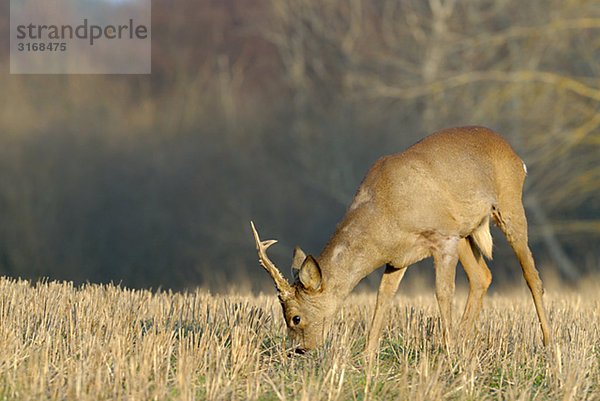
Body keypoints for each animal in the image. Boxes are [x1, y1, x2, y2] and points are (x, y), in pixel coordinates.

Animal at [250, 126, 552, 354]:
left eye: (295, 317)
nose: (299, 350)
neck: (385, 211)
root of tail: (516, 156)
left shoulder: (442, 237)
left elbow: (443, 293)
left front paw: (448, 352)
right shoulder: (398, 257)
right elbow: (383, 297)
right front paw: (368, 355)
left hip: (508, 205)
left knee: (531, 276)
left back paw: (549, 345)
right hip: (465, 231)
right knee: (483, 276)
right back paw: (464, 341)